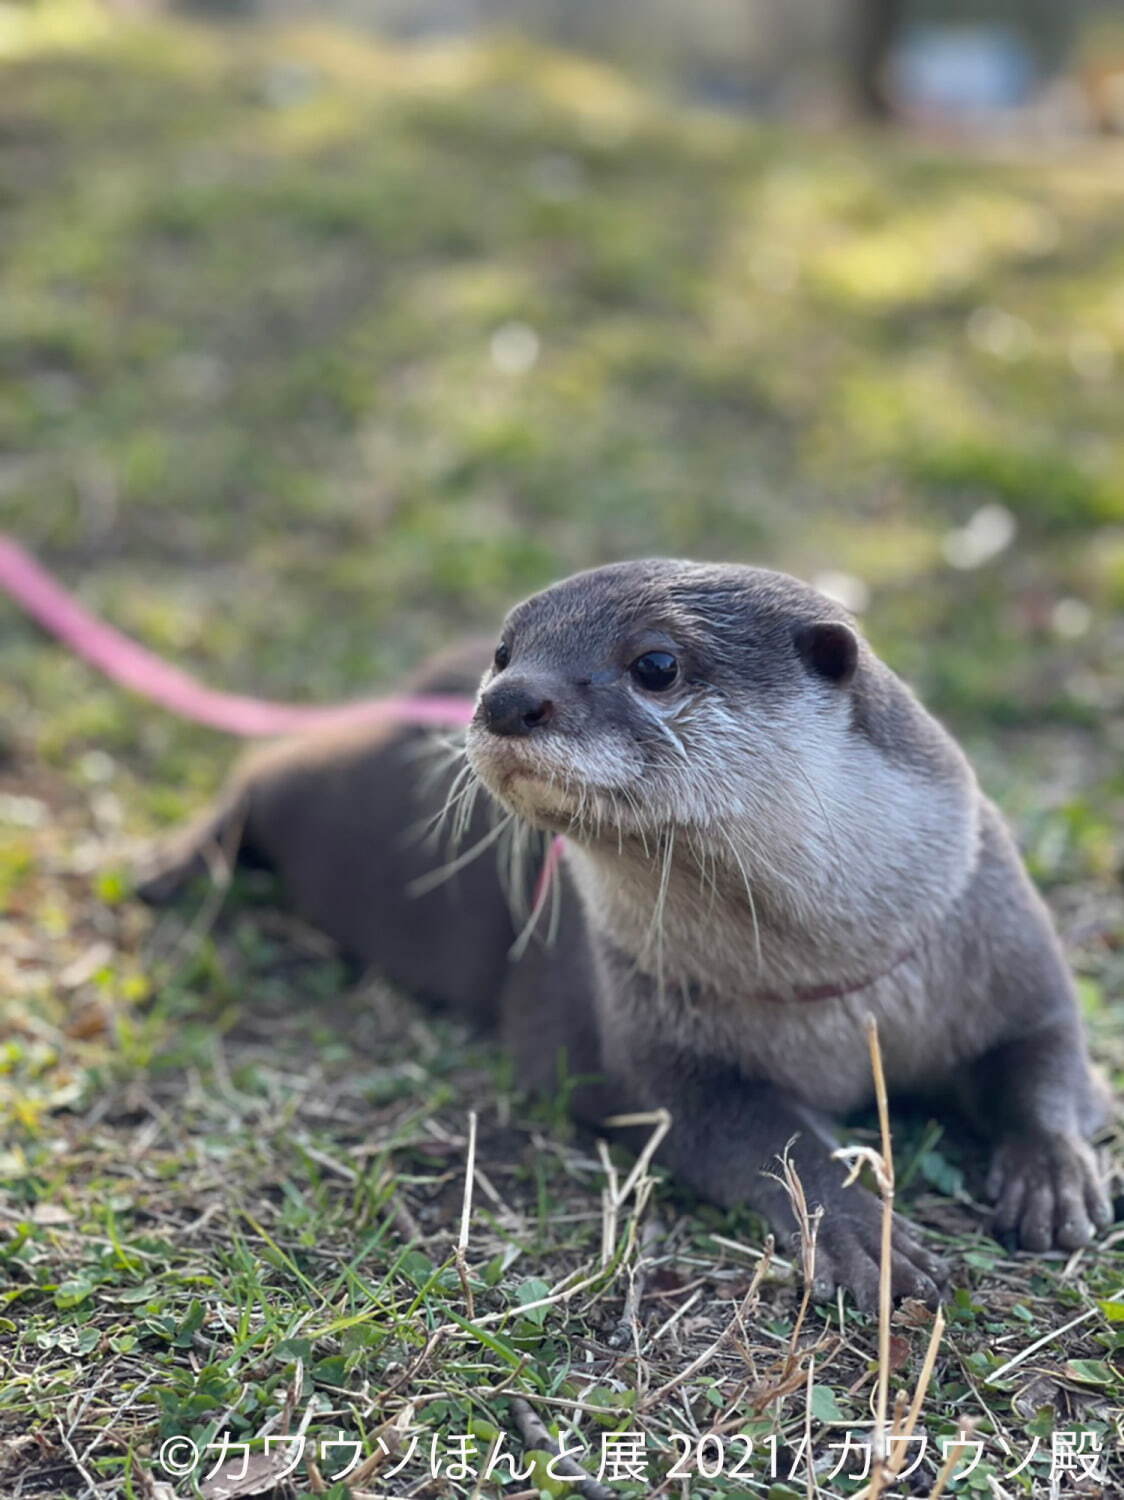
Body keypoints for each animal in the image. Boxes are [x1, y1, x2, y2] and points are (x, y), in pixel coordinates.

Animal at [135, 558, 1110, 1308]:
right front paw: (860, 1229)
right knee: (264, 761)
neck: (840, 982)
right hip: (337, 794)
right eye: (508, 650)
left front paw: (1053, 1175)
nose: (505, 697)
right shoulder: (653, 1038)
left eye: (656, 662)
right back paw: (172, 862)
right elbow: (758, 1137)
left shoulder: (997, 933)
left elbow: (1050, 1059)